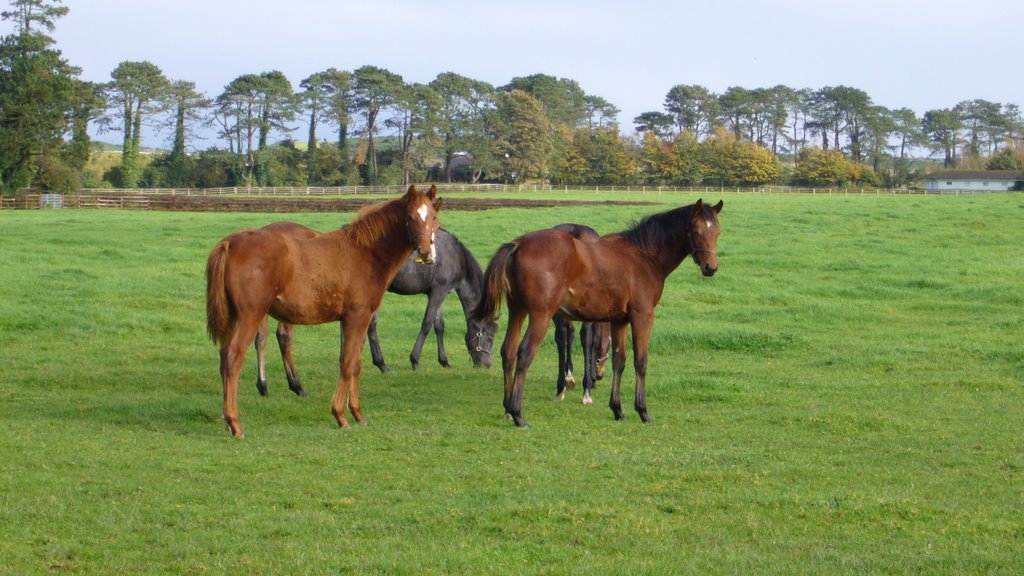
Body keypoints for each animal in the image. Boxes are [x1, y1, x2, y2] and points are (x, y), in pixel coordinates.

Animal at [205, 183, 442, 434]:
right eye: (410, 217)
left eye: (434, 217)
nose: (425, 252)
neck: (366, 253)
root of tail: (230, 243)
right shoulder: (357, 316)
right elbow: (347, 363)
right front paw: (340, 415)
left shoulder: (359, 319)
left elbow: (356, 363)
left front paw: (358, 414)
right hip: (250, 314)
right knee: (234, 357)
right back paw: (235, 422)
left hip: (233, 317)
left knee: (224, 356)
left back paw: (227, 418)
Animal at [253, 225, 497, 399]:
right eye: (489, 335)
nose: (487, 365)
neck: (454, 254)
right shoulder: (440, 290)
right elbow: (427, 324)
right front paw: (415, 360)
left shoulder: (435, 292)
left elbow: (439, 326)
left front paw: (444, 361)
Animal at [552, 222, 606, 401]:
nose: (600, 374)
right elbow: (593, 340)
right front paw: (591, 379)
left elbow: (569, 334)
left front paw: (569, 376)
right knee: (586, 336)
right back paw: (587, 390)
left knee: (561, 335)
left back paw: (561, 387)